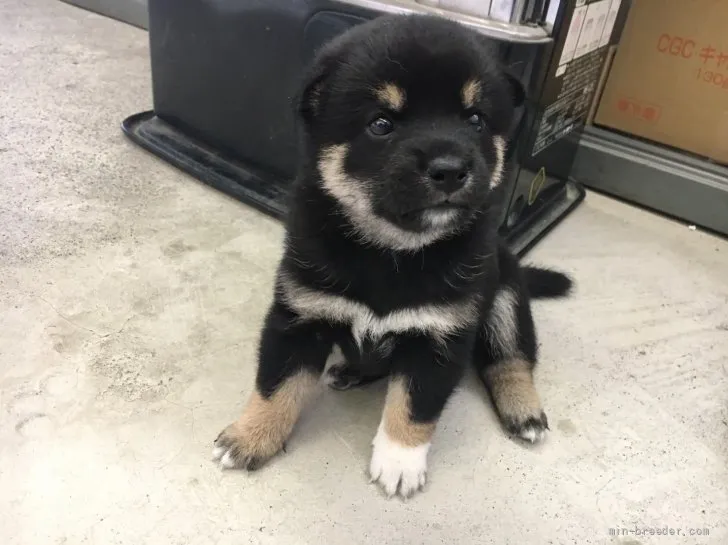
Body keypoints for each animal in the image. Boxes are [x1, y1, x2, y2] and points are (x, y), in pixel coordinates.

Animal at [213, 13, 572, 498]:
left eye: (476, 119)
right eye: (381, 124)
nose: (450, 170)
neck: (391, 251)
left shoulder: (440, 336)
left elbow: (414, 405)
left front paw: (400, 461)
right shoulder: (300, 317)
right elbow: (276, 384)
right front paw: (250, 435)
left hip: (506, 299)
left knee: (511, 358)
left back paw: (523, 409)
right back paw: (349, 371)